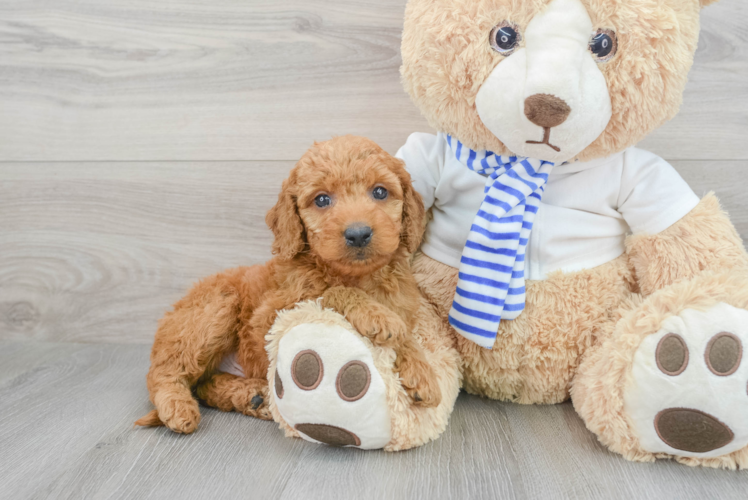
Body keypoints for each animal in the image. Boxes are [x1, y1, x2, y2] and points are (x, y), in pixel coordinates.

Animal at [136, 135, 438, 432]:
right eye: (322, 199)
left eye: (380, 192)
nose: (358, 234)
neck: (355, 275)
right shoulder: (267, 321)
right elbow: (331, 291)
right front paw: (377, 316)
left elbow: (405, 334)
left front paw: (420, 369)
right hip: (215, 308)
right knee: (164, 372)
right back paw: (178, 407)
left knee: (204, 384)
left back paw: (252, 397)